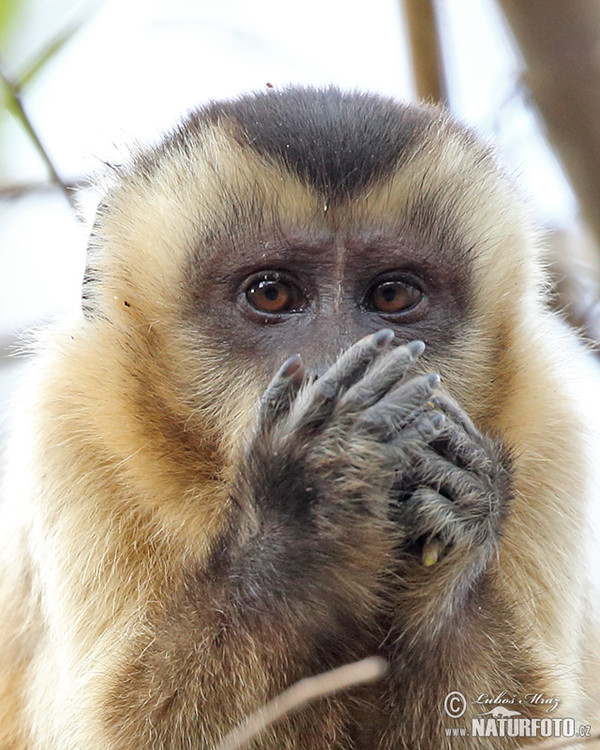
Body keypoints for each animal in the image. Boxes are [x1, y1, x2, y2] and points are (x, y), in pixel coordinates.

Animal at [1, 85, 600, 748]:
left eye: (392, 294)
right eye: (271, 293)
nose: (332, 365)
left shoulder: (550, 428)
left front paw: (457, 512)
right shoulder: (75, 417)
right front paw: (306, 495)